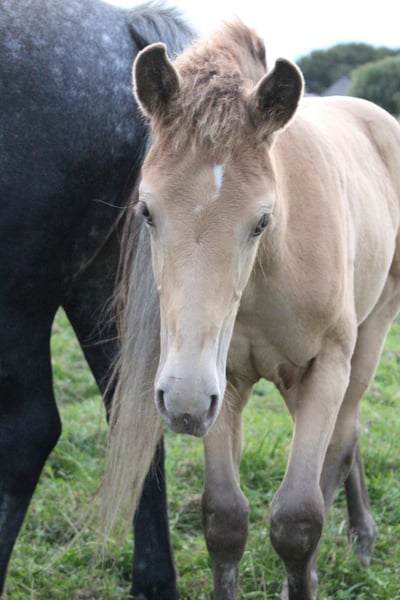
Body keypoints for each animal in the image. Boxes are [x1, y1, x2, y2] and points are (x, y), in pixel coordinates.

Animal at [0, 1, 193, 597]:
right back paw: (154, 583)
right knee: (133, 414)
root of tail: (121, 28)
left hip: (21, 302)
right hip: (101, 290)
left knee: (27, 435)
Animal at [103, 21, 400, 599]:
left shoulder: (326, 367)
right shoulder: (225, 383)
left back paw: (361, 540)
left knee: (344, 440)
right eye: (146, 211)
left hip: (372, 332)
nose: (182, 400)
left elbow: (298, 519)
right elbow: (224, 519)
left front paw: (303, 575)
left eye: (262, 220)